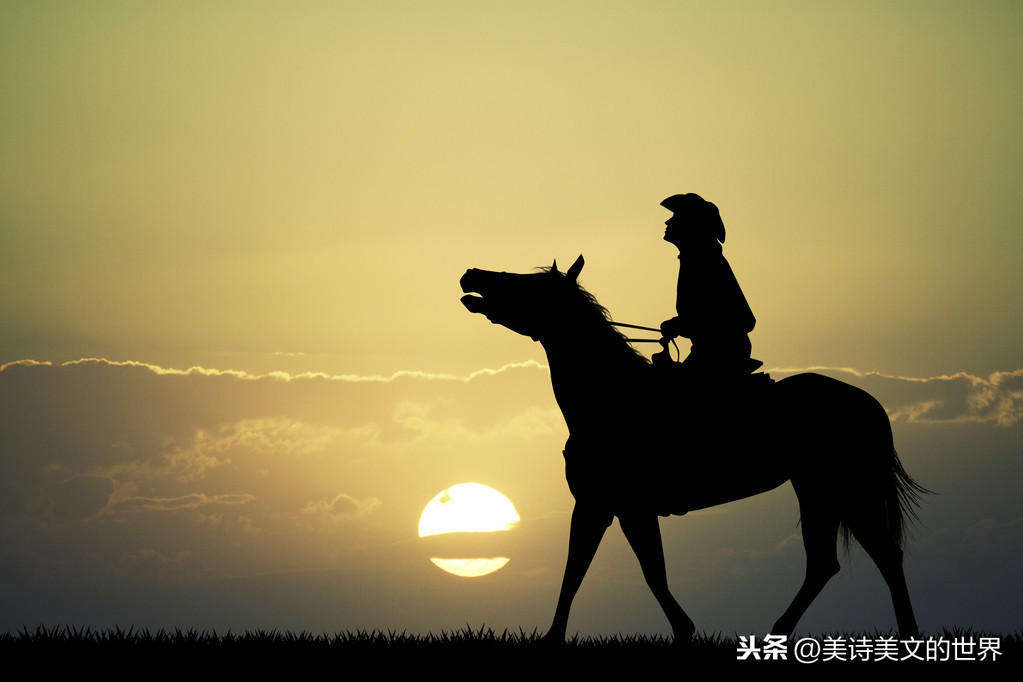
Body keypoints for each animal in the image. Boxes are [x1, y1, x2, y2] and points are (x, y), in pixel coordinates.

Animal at [458, 253, 928, 642]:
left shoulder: (615, 505)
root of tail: (867, 402)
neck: (612, 397)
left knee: (882, 555)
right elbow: (602, 569)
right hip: (818, 489)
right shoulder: (609, 505)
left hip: (845, 490)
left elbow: (628, 571)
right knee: (827, 563)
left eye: (529, 284)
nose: (472, 273)